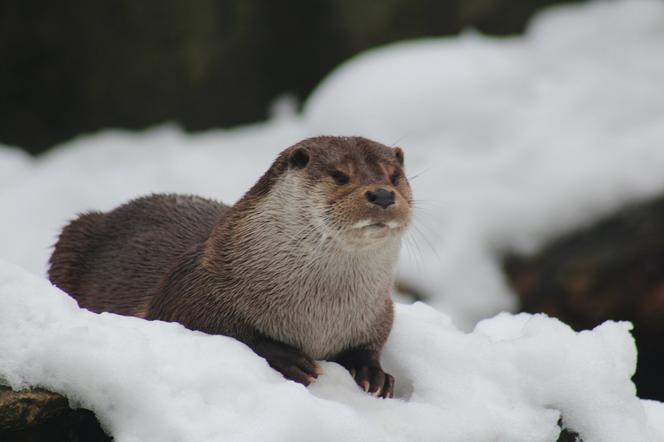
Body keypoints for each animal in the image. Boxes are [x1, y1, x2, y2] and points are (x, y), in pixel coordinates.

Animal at [49, 136, 410, 398]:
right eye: (339, 175)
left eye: (395, 177)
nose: (382, 193)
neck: (318, 315)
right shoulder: (188, 288)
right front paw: (287, 357)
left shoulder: (379, 312)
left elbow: (372, 342)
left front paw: (372, 371)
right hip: (72, 237)